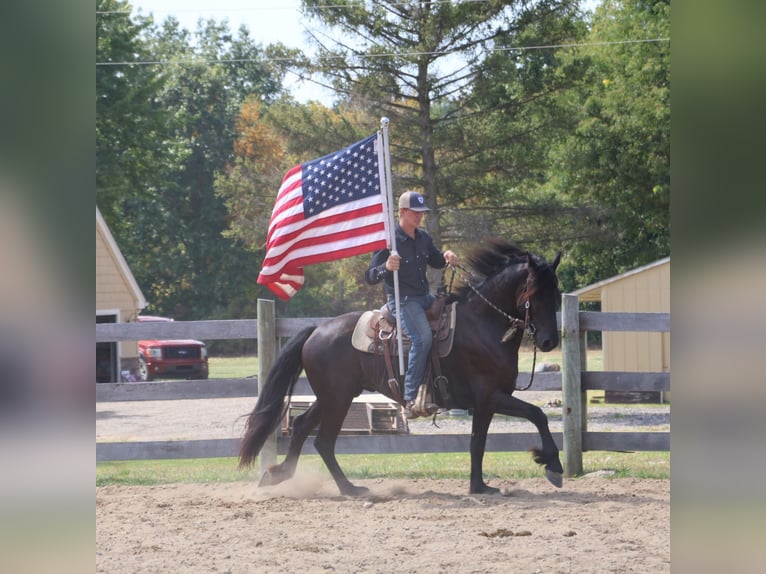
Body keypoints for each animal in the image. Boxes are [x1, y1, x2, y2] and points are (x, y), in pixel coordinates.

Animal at [239, 238, 563, 496]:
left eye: (557, 293)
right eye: (534, 293)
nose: (549, 340)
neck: (482, 325)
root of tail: (317, 330)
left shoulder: (484, 405)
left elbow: (478, 443)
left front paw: (479, 486)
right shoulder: (491, 397)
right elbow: (537, 414)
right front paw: (552, 464)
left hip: (332, 397)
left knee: (302, 427)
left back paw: (280, 474)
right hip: (337, 399)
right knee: (323, 441)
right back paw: (348, 488)